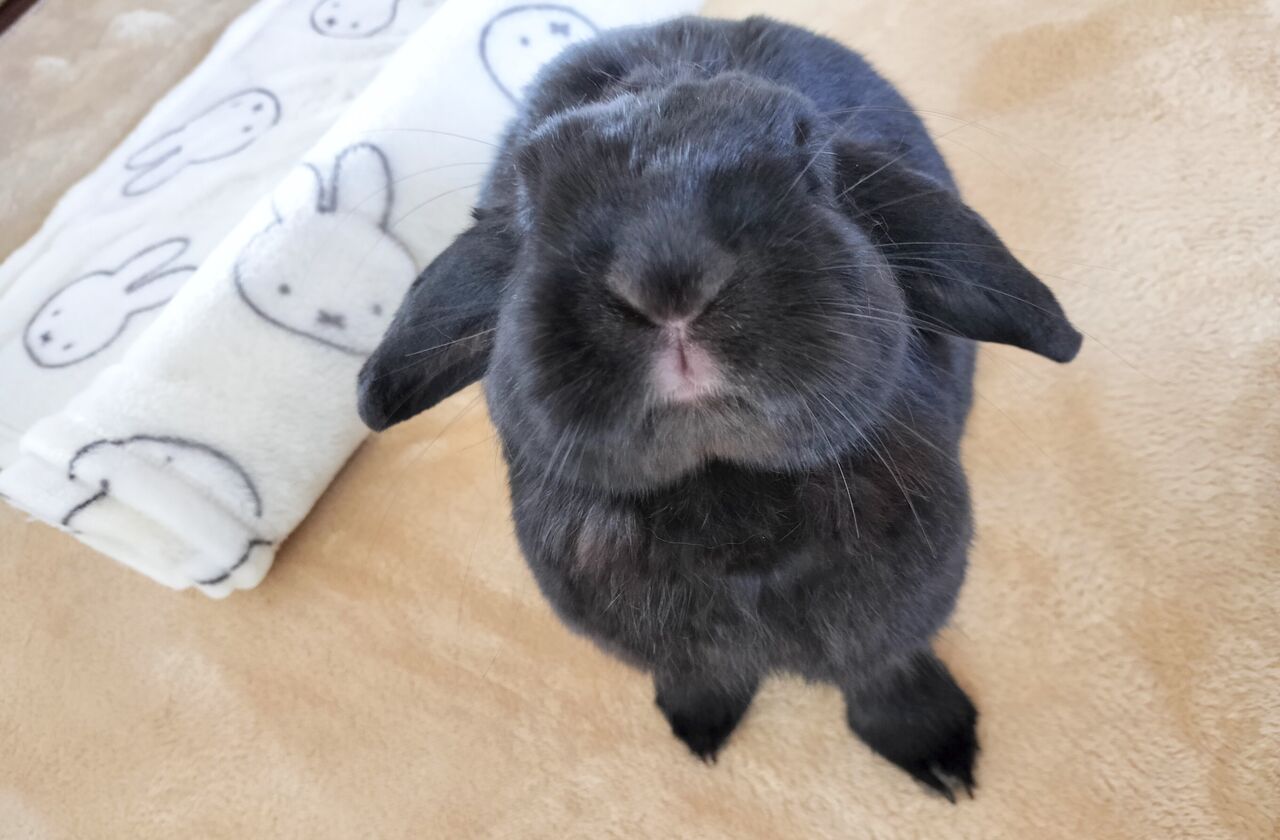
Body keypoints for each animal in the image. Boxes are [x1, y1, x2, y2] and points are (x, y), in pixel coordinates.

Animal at [358, 16, 1082, 801]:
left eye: (811, 160)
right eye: (531, 195)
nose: (666, 278)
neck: (726, 497)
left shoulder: (893, 623)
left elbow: (885, 678)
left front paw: (941, 755)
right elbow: (702, 678)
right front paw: (697, 728)